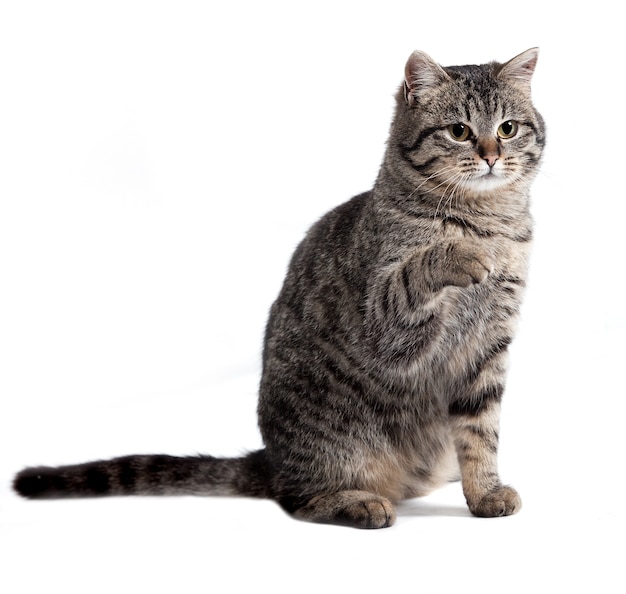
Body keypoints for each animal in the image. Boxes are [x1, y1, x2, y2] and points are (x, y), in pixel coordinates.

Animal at [13, 47, 540, 528]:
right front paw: (460, 254)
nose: (491, 156)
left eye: (508, 128)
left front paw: (484, 491)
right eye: (459, 131)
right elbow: (419, 270)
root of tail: (271, 459)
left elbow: (481, 433)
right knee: (297, 499)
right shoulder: (385, 326)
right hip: (335, 440)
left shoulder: (490, 349)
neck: (485, 220)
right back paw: (357, 502)